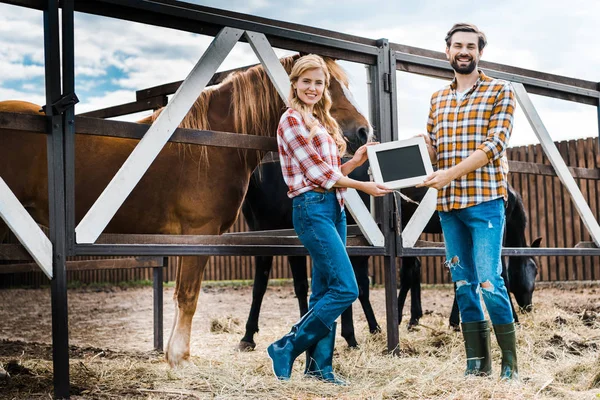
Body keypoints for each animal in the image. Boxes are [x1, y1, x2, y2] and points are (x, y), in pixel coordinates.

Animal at [0, 54, 370, 368]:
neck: (212, 142)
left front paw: (172, 354)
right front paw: (180, 357)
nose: (363, 131)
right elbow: (189, 296)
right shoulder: (200, 233)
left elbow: (182, 294)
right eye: (326, 85)